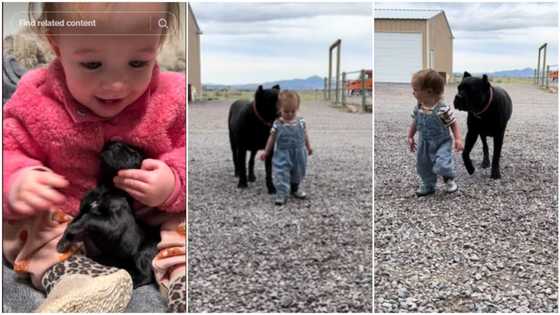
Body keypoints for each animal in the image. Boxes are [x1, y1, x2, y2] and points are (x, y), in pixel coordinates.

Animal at [57, 142, 160, 288]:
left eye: (133, 153)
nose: (114, 143)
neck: (105, 188)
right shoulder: (83, 210)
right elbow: (76, 220)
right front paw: (63, 241)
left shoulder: (114, 223)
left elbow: (89, 218)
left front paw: (71, 231)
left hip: (143, 254)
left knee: (146, 275)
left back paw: (131, 281)